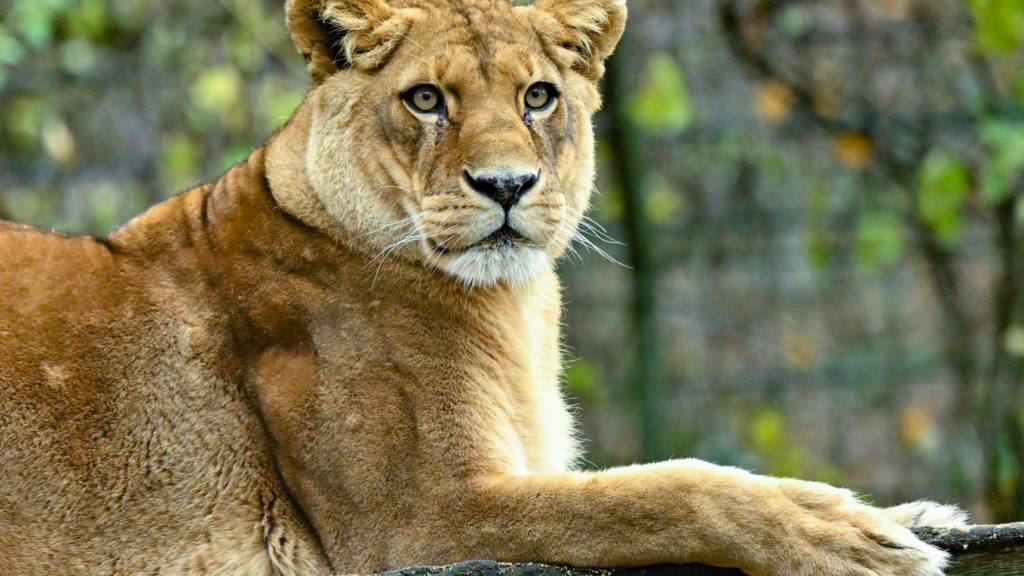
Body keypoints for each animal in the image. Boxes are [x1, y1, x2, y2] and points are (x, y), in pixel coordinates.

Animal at [0, 0, 967, 574]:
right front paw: (837, 530)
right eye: (426, 99)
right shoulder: (417, 519)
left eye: (539, 97)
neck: (512, 306)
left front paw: (912, 514)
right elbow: (656, 493)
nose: (506, 185)